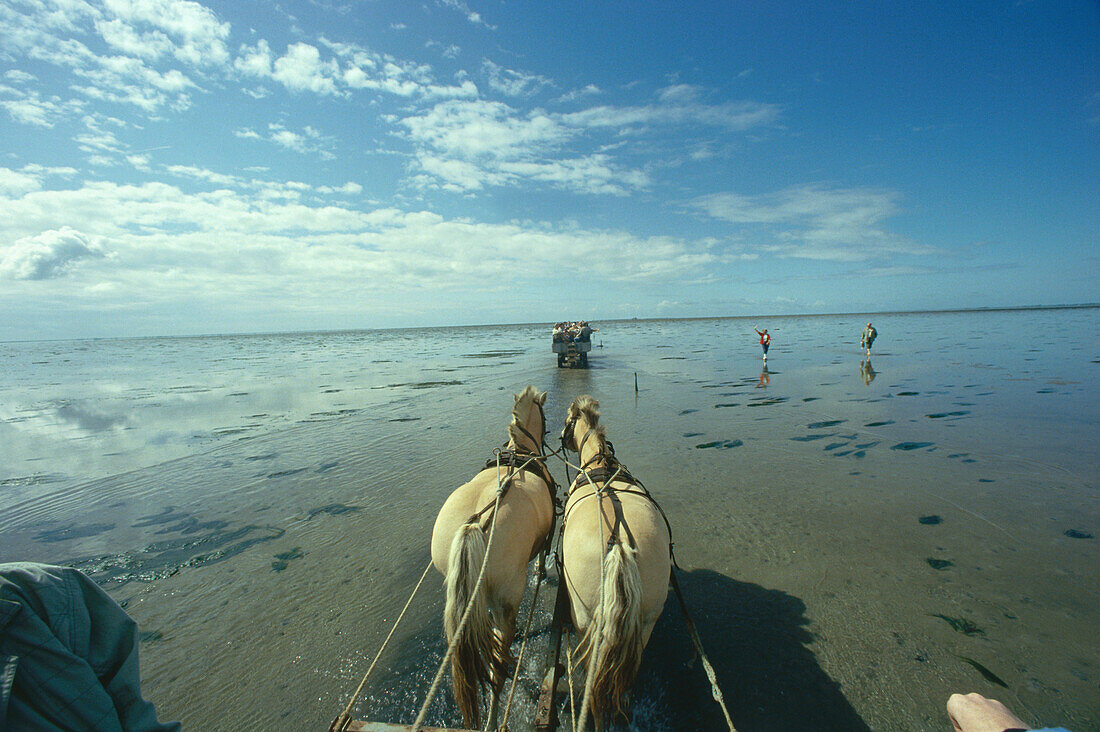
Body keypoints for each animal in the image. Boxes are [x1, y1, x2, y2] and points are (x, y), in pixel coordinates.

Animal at [426, 385, 554, 726]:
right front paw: (542, 572)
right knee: (498, 664)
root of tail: (475, 524)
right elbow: (542, 558)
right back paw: (495, 717)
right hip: (506, 599)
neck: (519, 451)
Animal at [558, 396, 668, 726]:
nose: (561, 438)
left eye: (566, 420)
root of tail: (617, 547)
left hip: (585, 620)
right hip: (645, 623)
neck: (599, 464)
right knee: (625, 677)